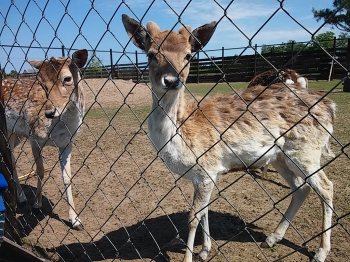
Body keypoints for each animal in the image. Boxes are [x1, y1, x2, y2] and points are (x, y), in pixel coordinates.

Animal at [2, 49, 88, 229]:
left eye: (67, 78)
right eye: (41, 83)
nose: (49, 112)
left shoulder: (67, 143)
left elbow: (67, 177)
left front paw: (76, 220)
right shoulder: (34, 138)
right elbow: (40, 171)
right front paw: (37, 206)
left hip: (16, 134)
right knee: (11, 160)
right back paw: (22, 199)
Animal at [121, 14, 334, 262]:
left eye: (188, 55)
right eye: (151, 54)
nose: (172, 80)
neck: (181, 135)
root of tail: (331, 107)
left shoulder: (207, 169)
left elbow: (193, 217)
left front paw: (190, 256)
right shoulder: (206, 176)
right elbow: (204, 212)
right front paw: (204, 250)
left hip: (306, 151)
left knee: (326, 187)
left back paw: (321, 251)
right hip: (280, 157)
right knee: (301, 188)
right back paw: (272, 238)